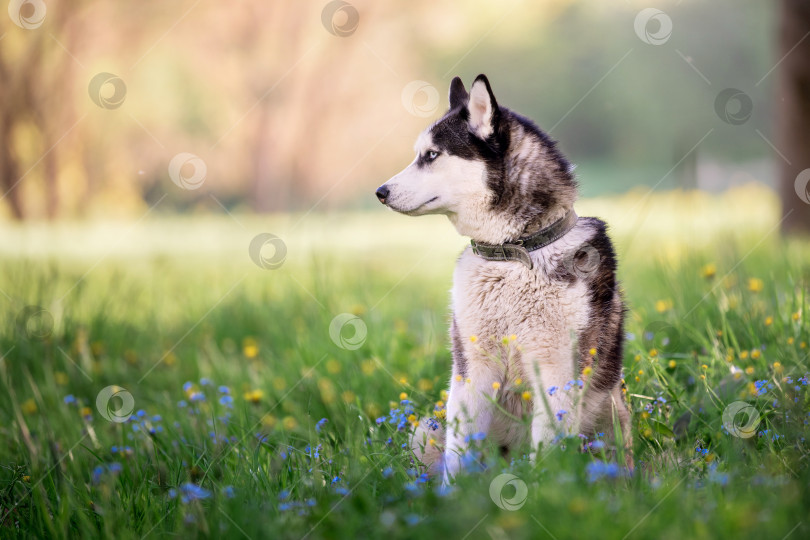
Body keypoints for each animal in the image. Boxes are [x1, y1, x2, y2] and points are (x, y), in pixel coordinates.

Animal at [374, 73, 632, 480]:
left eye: (431, 155)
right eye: (420, 154)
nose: (380, 192)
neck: (511, 252)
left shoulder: (557, 369)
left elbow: (549, 447)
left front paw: (548, 487)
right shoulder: (471, 368)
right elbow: (459, 451)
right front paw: (455, 494)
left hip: (611, 413)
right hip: (426, 427)